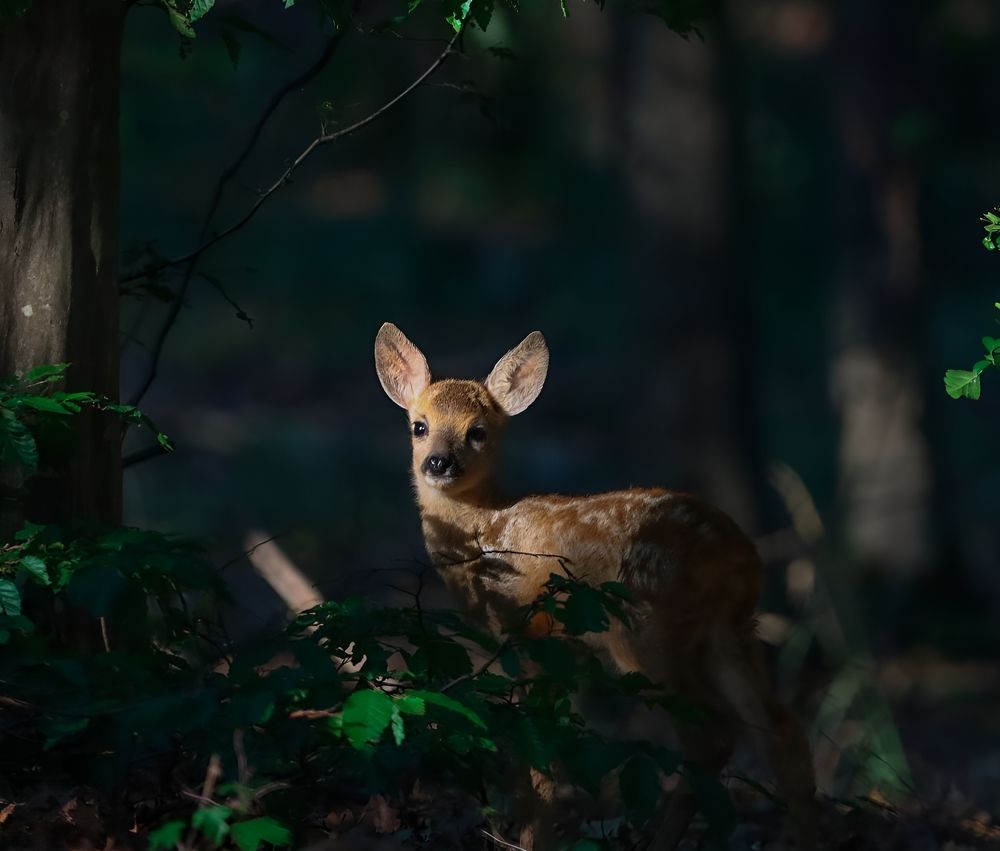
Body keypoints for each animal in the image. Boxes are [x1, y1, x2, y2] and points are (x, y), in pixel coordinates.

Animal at [374, 322, 817, 851]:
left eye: (477, 432)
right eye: (419, 426)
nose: (439, 462)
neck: (490, 532)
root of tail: (742, 557)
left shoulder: (530, 630)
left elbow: (539, 749)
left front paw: (530, 839)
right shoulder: (564, 648)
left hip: (646, 628)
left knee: (712, 732)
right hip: (731, 631)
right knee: (779, 724)